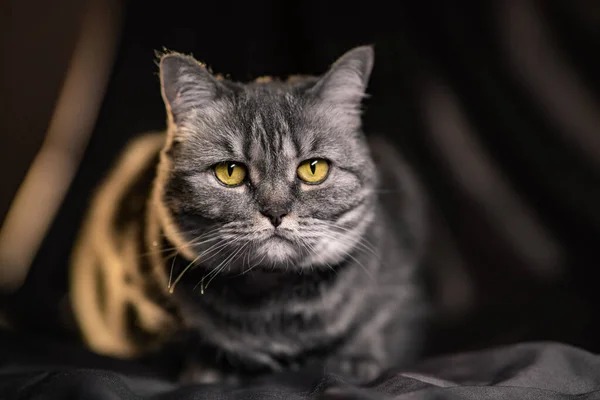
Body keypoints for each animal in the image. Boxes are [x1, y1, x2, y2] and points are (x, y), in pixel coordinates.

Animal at [68, 44, 428, 384]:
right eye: (229, 172)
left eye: (314, 168)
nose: (276, 211)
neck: (272, 307)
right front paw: (212, 369)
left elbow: (374, 328)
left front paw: (354, 362)